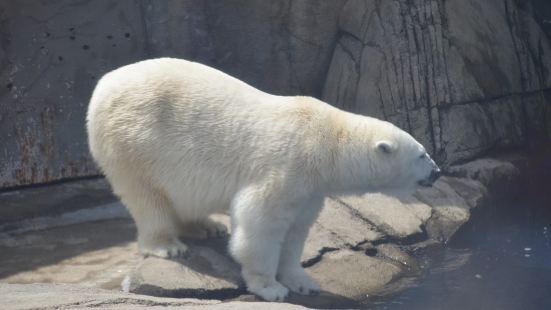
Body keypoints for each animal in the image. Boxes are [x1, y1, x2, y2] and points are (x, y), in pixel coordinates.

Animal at [85, 57, 440, 300]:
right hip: (134, 141)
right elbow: (260, 226)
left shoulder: (310, 188)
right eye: (422, 154)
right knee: (147, 197)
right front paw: (270, 288)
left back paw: (207, 226)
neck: (325, 141)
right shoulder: (286, 166)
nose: (437, 172)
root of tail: (104, 82)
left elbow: (296, 232)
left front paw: (303, 282)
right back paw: (168, 245)